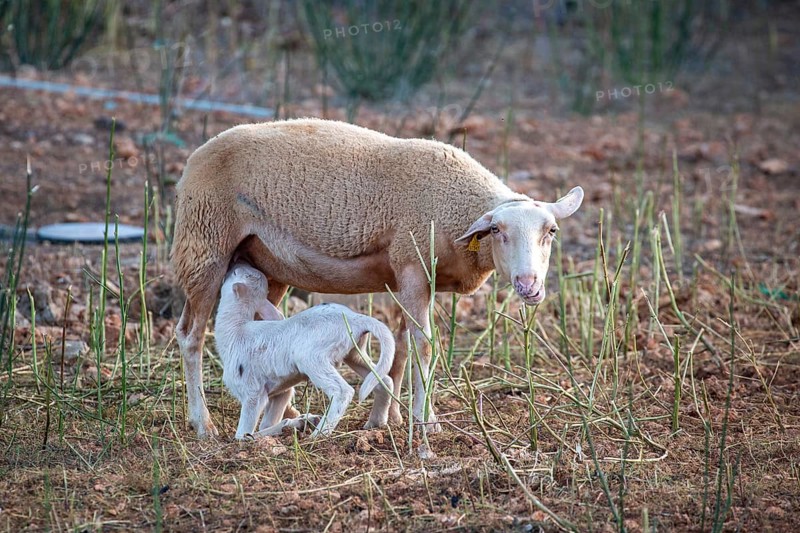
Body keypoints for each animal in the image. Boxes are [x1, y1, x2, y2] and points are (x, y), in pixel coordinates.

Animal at [215, 262, 395, 438]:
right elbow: (267, 424)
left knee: (342, 391)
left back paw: (319, 434)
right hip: (355, 353)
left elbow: (244, 435)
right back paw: (376, 422)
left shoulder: (252, 393)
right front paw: (298, 422)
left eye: (235, 272)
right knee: (383, 380)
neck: (236, 329)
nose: (236, 262)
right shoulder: (281, 391)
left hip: (312, 357)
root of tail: (355, 318)